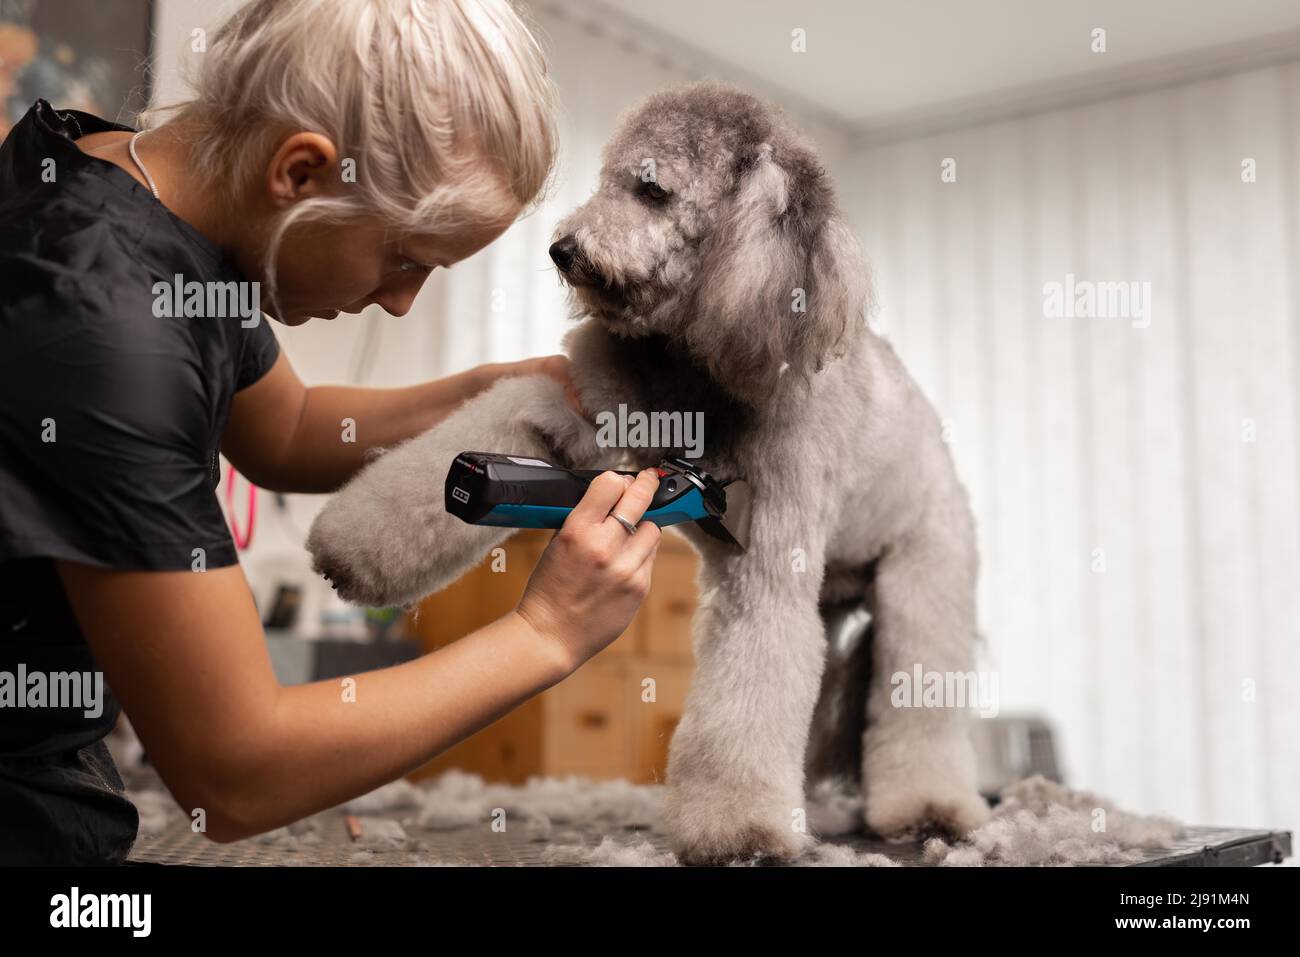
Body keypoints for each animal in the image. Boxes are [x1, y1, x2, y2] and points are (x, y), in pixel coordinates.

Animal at [309, 80, 987, 858]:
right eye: (609, 179)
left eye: (653, 189)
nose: (562, 249)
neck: (694, 366)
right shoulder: (575, 414)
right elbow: (505, 415)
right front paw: (356, 545)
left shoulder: (764, 563)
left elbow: (748, 686)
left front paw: (738, 827)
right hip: (831, 598)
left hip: (921, 585)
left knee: (917, 702)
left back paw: (929, 806)